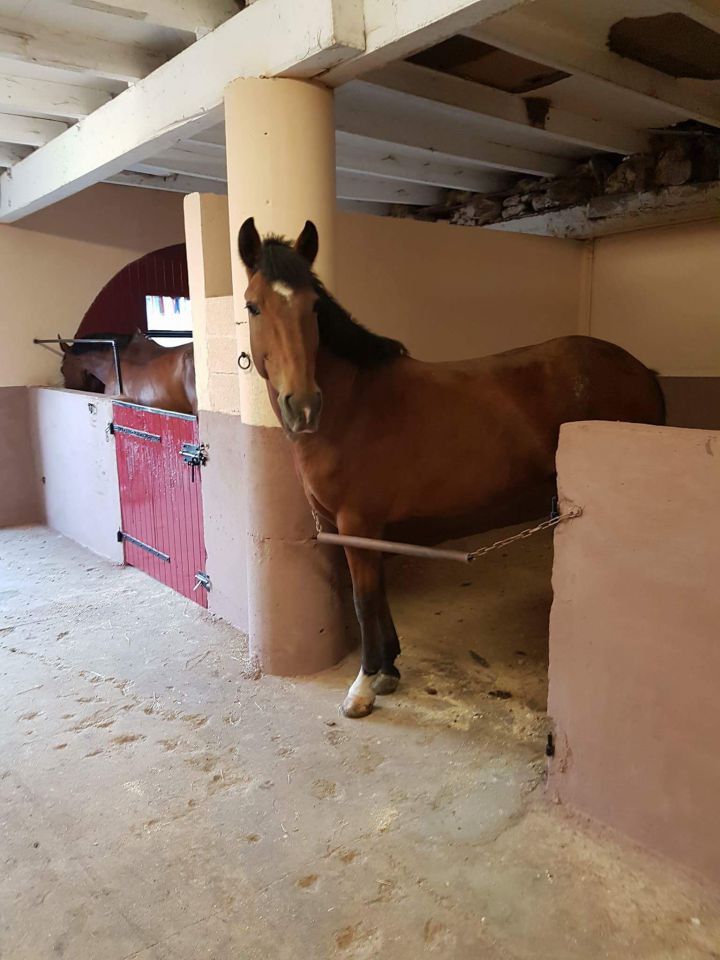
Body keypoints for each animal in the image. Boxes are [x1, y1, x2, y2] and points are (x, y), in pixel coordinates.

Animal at [237, 217, 666, 719]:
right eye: (253, 306)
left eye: (314, 308)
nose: (303, 406)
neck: (353, 403)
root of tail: (641, 371)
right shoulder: (364, 527)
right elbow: (379, 594)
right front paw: (388, 671)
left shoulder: (356, 523)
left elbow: (363, 600)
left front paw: (362, 687)